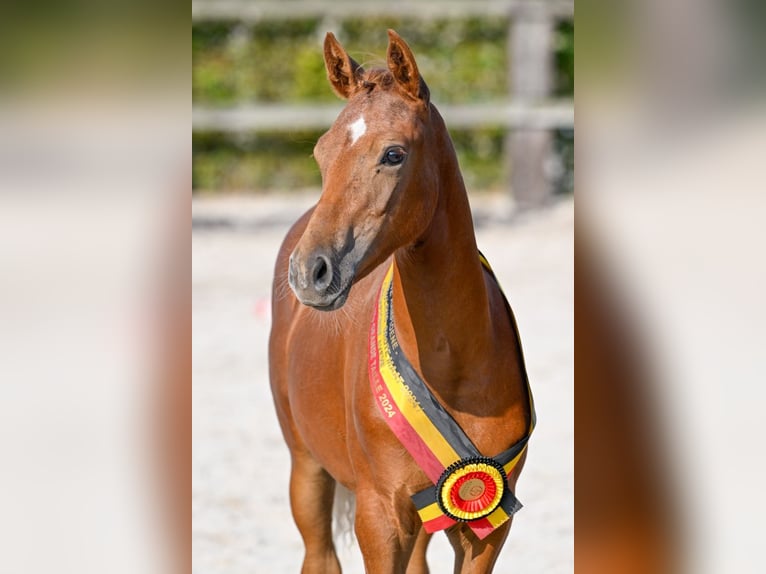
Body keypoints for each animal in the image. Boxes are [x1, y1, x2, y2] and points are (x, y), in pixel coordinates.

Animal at [270, 32, 536, 574]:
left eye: (393, 154)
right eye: (321, 153)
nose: (309, 273)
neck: (451, 367)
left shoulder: (487, 527)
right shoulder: (378, 517)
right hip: (307, 470)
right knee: (319, 554)